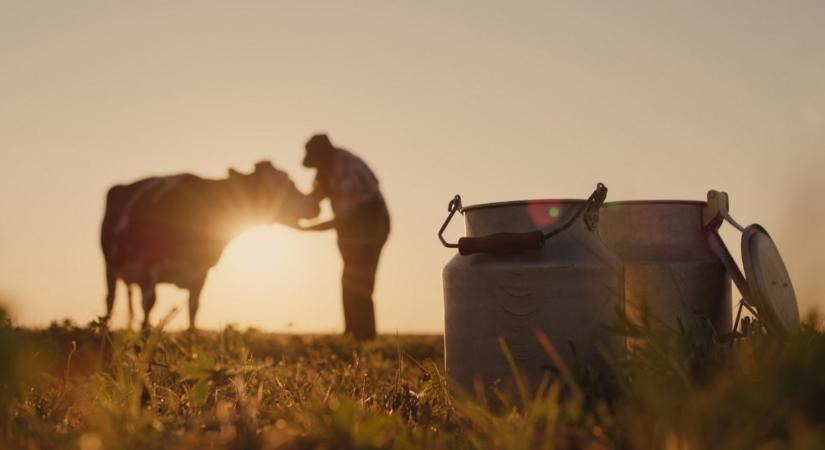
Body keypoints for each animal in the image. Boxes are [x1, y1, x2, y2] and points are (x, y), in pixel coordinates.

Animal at [101, 160, 320, 328]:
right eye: (278, 184)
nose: (314, 204)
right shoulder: (150, 267)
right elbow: (149, 306)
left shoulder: (201, 272)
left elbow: (193, 309)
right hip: (110, 267)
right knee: (110, 300)